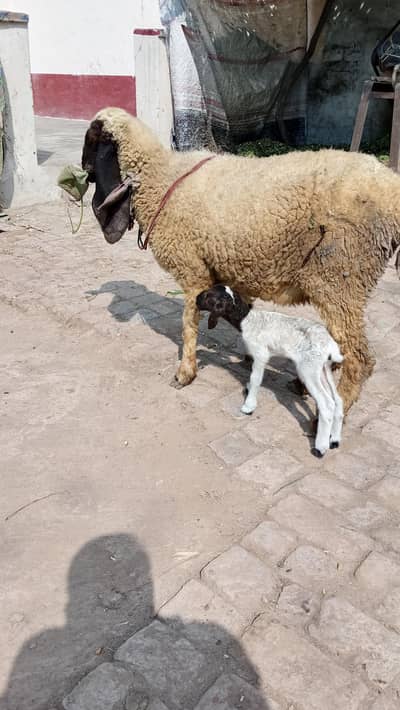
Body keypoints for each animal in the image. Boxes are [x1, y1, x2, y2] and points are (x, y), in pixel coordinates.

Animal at [81, 107, 400, 414]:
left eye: (92, 138)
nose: (84, 167)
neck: (162, 177)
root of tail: (391, 191)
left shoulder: (192, 270)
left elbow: (188, 324)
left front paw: (185, 373)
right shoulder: (238, 267)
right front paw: (247, 356)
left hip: (341, 274)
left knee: (359, 358)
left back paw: (331, 413)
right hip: (344, 281)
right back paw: (303, 385)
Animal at [196, 285, 344, 457]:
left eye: (208, 296)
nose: (196, 300)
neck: (247, 319)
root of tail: (330, 345)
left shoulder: (260, 354)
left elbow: (255, 379)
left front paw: (248, 406)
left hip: (308, 368)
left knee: (326, 403)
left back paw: (320, 447)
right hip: (323, 368)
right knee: (337, 399)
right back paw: (334, 440)